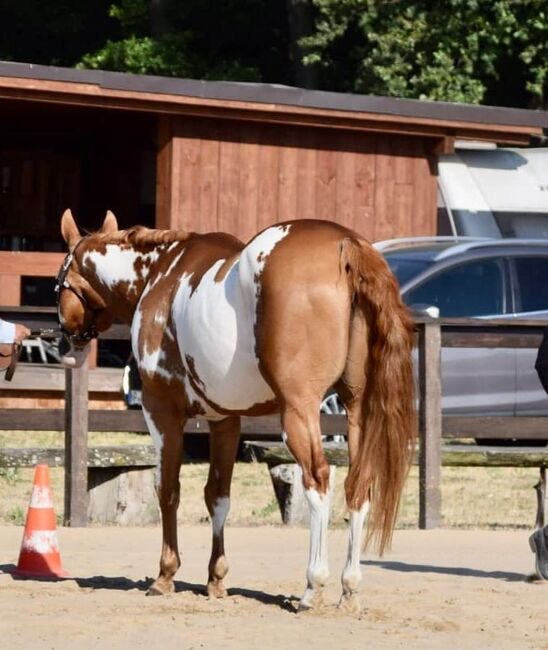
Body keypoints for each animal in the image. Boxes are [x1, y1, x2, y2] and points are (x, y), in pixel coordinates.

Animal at [56, 210, 416, 612]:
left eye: (60, 281)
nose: (65, 336)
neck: (159, 275)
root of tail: (346, 244)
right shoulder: (225, 420)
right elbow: (218, 496)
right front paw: (216, 580)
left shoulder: (161, 412)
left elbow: (168, 489)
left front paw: (165, 576)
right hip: (357, 409)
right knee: (358, 484)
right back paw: (349, 589)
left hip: (299, 413)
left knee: (318, 481)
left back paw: (313, 585)